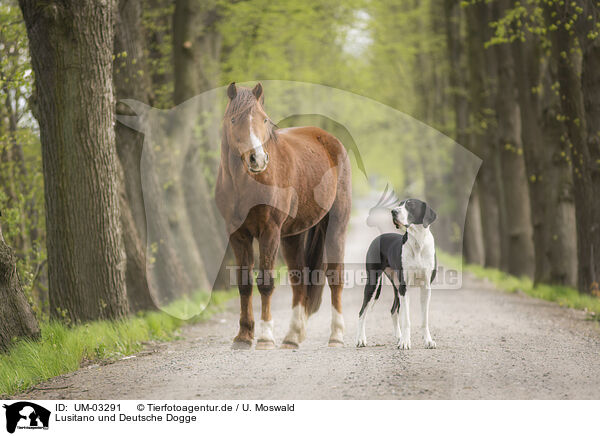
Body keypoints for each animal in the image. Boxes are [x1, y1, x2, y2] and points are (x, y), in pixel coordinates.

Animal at [218, 82, 352, 350]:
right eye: (234, 119)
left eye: (264, 119)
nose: (257, 159)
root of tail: (330, 141)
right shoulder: (238, 235)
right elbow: (244, 284)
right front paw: (243, 336)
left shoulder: (269, 232)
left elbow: (266, 283)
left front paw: (265, 338)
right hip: (293, 236)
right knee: (298, 280)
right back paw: (292, 337)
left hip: (336, 227)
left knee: (335, 278)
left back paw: (336, 336)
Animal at [356, 199, 436, 350]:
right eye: (400, 204)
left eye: (410, 205)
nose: (393, 211)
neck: (418, 241)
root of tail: (379, 237)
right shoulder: (405, 287)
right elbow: (407, 319)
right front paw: (405, 342)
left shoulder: (426, 288)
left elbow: (424, 319)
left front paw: (428, 341)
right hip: (373, 283)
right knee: (362, 312)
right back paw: (361, 339)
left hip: (396, 286)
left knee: (393, 310)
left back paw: (399, 337)